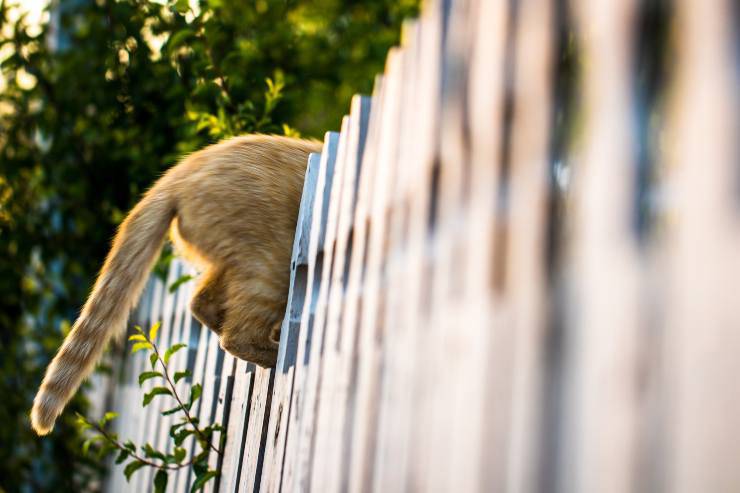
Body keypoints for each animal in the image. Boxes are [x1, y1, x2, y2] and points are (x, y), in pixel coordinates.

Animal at [31, 133, 320, 432]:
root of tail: (178, 175)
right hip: (271, 268)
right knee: (237, 334)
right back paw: (278, 354)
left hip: (235, 265)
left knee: (201, 304)